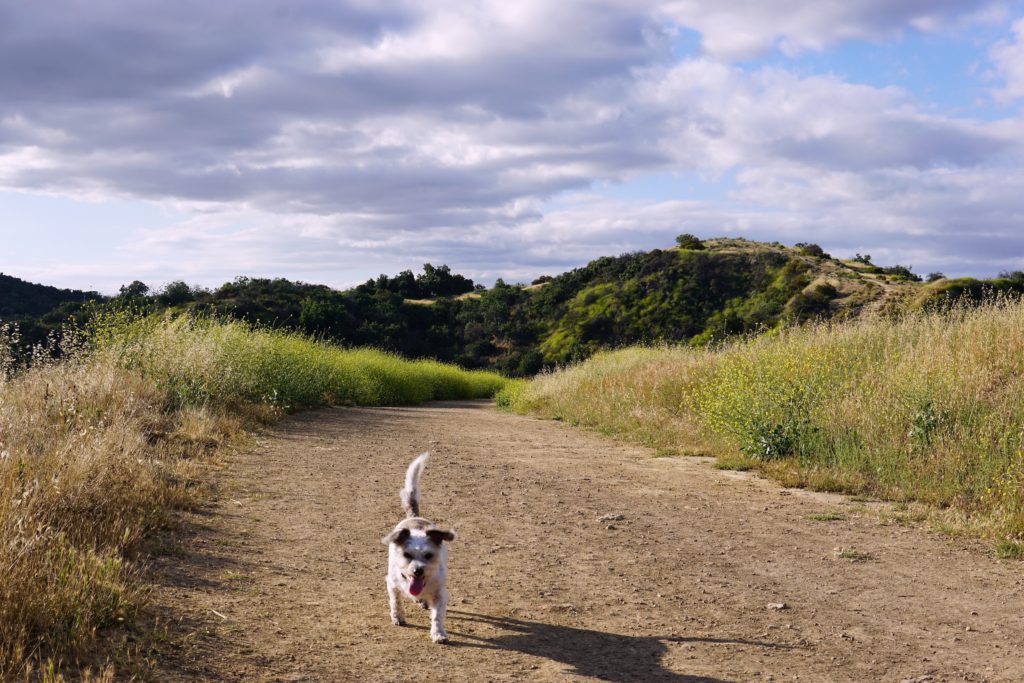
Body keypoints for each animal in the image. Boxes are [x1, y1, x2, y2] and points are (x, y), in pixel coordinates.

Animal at [381, 452, 456, 644]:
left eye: (428, 555)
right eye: (407, 555)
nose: (418, 570)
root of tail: (415, 516)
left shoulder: (440, 594)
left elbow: (437, 616)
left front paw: (438, 633)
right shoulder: (392, 584)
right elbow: (395, 601)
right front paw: (398, 617)